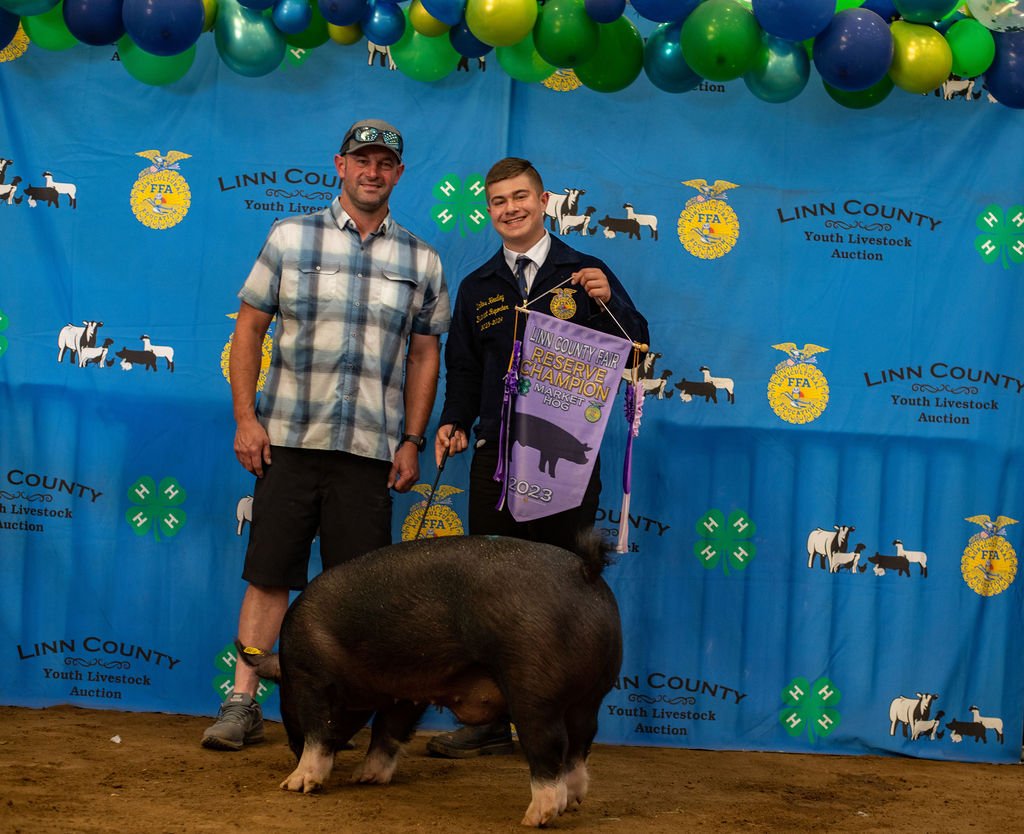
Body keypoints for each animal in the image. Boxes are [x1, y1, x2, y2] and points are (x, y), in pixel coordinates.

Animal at [237, 536, 622, 827]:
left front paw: (295, 785)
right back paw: (573, 799)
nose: (291, 747)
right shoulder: (407, 693)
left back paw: (535, 817)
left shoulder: (312, 679)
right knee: (581, 742)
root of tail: (585, 570)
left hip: (534, 690)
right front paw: (364, 778)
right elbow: (388, 731)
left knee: (549, 746)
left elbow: (321, 731)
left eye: (285, 696)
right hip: (591, 695)